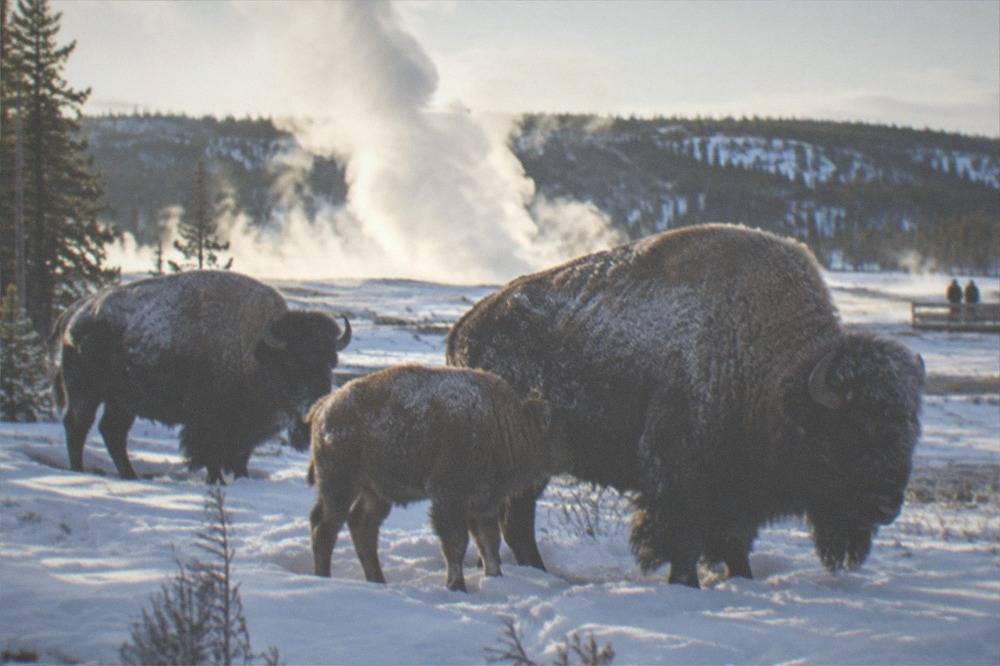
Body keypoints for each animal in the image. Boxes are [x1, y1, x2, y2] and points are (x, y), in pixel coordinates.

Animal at [49, 270, 350, 483]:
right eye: (292, 362)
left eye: (331, 362)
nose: (315, 406)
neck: (258, 352)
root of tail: (74, 313)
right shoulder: (209, 423)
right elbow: (209, 454)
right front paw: (217, 480)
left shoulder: (247, 429)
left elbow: (241, 456)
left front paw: (241, 477)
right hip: (85, 392)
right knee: (78, 426)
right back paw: (78, 470)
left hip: (122, 401)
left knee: (112, 432)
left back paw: (129, 474)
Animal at [447, 224, 925, 587]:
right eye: (856, 427)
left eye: (910, 428)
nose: (887, 505)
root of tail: (465, 327)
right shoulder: (681, 478)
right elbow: (684, 540)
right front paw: (686, 583)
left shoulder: (737, 495)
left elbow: (734, 543)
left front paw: (741, 579)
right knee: (517, 522)